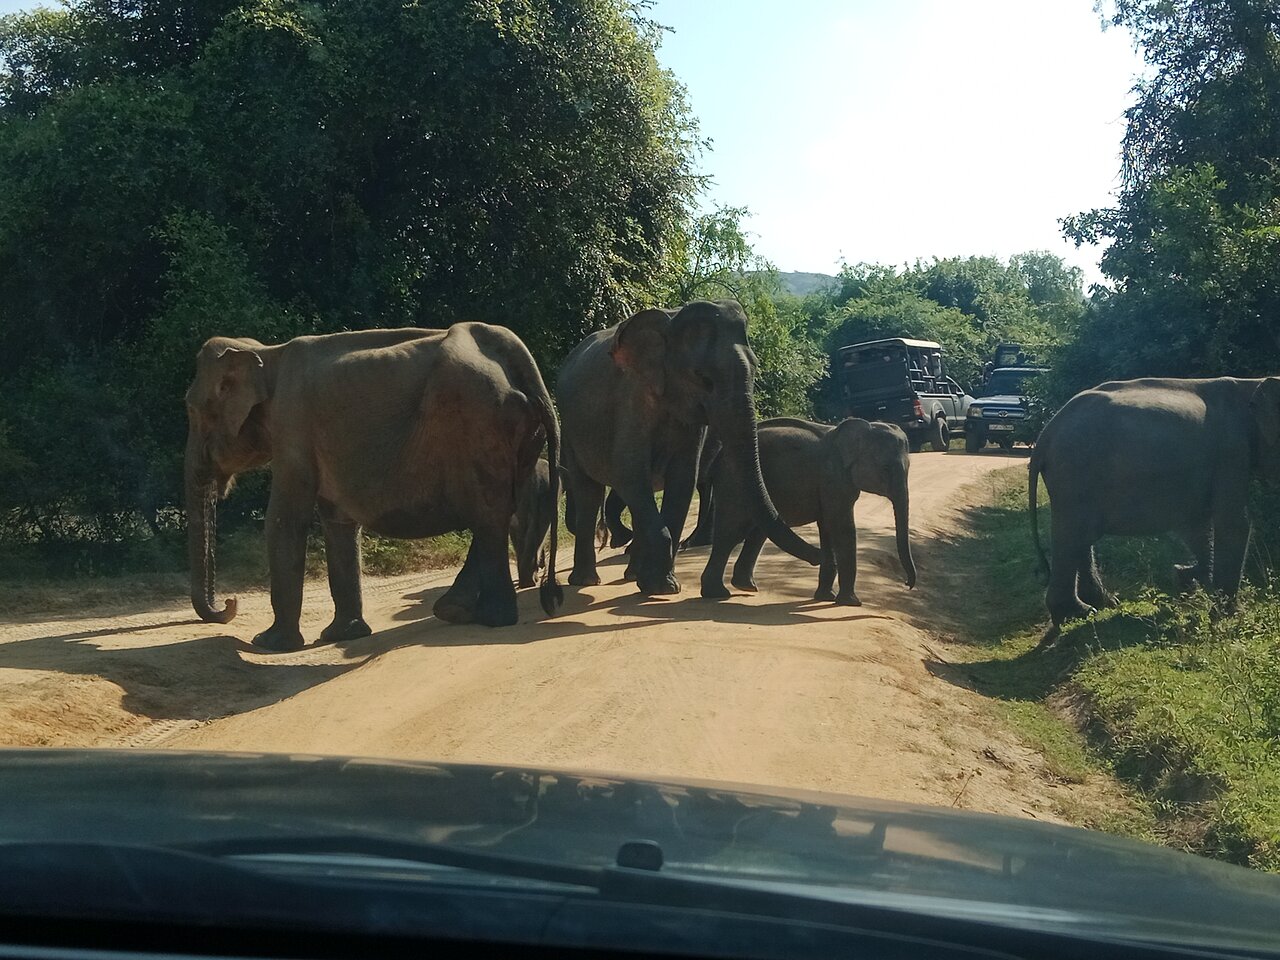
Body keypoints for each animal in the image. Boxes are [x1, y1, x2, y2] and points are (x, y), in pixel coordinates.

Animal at [184, 323, 561, 651]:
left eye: (192, 410)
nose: (229, 604)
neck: (265, 353)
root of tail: (521, 362)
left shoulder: (292, 426)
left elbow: (284, 519)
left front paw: (268, 644)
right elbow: (337, 522)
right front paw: (344, 635)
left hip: (480, 424)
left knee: (488, 516)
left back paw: (491, 619)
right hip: (520, 436)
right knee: (495, 515)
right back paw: (456, 611)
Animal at [556, 300, 822, 595]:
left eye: (755, 367)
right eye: (702, 377)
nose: (819, 557)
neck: (670, 326)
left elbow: (683, 479)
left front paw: (662, 586)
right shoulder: (630, 399)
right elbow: (629, 475)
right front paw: (661, 587)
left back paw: (631, 572)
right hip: (570, 426)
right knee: (589, 492)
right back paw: (587, 581)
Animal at [700, 417, 916, 604]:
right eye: (886, 468)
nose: (906, 584)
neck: (865, 427)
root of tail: (718, 457)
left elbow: (828, 527)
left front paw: (827, 597)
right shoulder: (833, 478)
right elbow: (841, 527)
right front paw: (851, 602)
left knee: (756, 531)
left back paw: (745, 587)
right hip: (734, 482)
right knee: (732, 531)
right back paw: (718, 593)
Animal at [1029, 376, 1280, 644]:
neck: (1249, 386)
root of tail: (1044, 436)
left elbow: (1197, 522)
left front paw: (1184, 578)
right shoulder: (1232, 452)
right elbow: (1233, 524)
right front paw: (1227, 613)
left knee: (1081, 538)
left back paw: (1103, 603)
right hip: (1074, 474)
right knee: (1071, 537)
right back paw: (1077, 614)